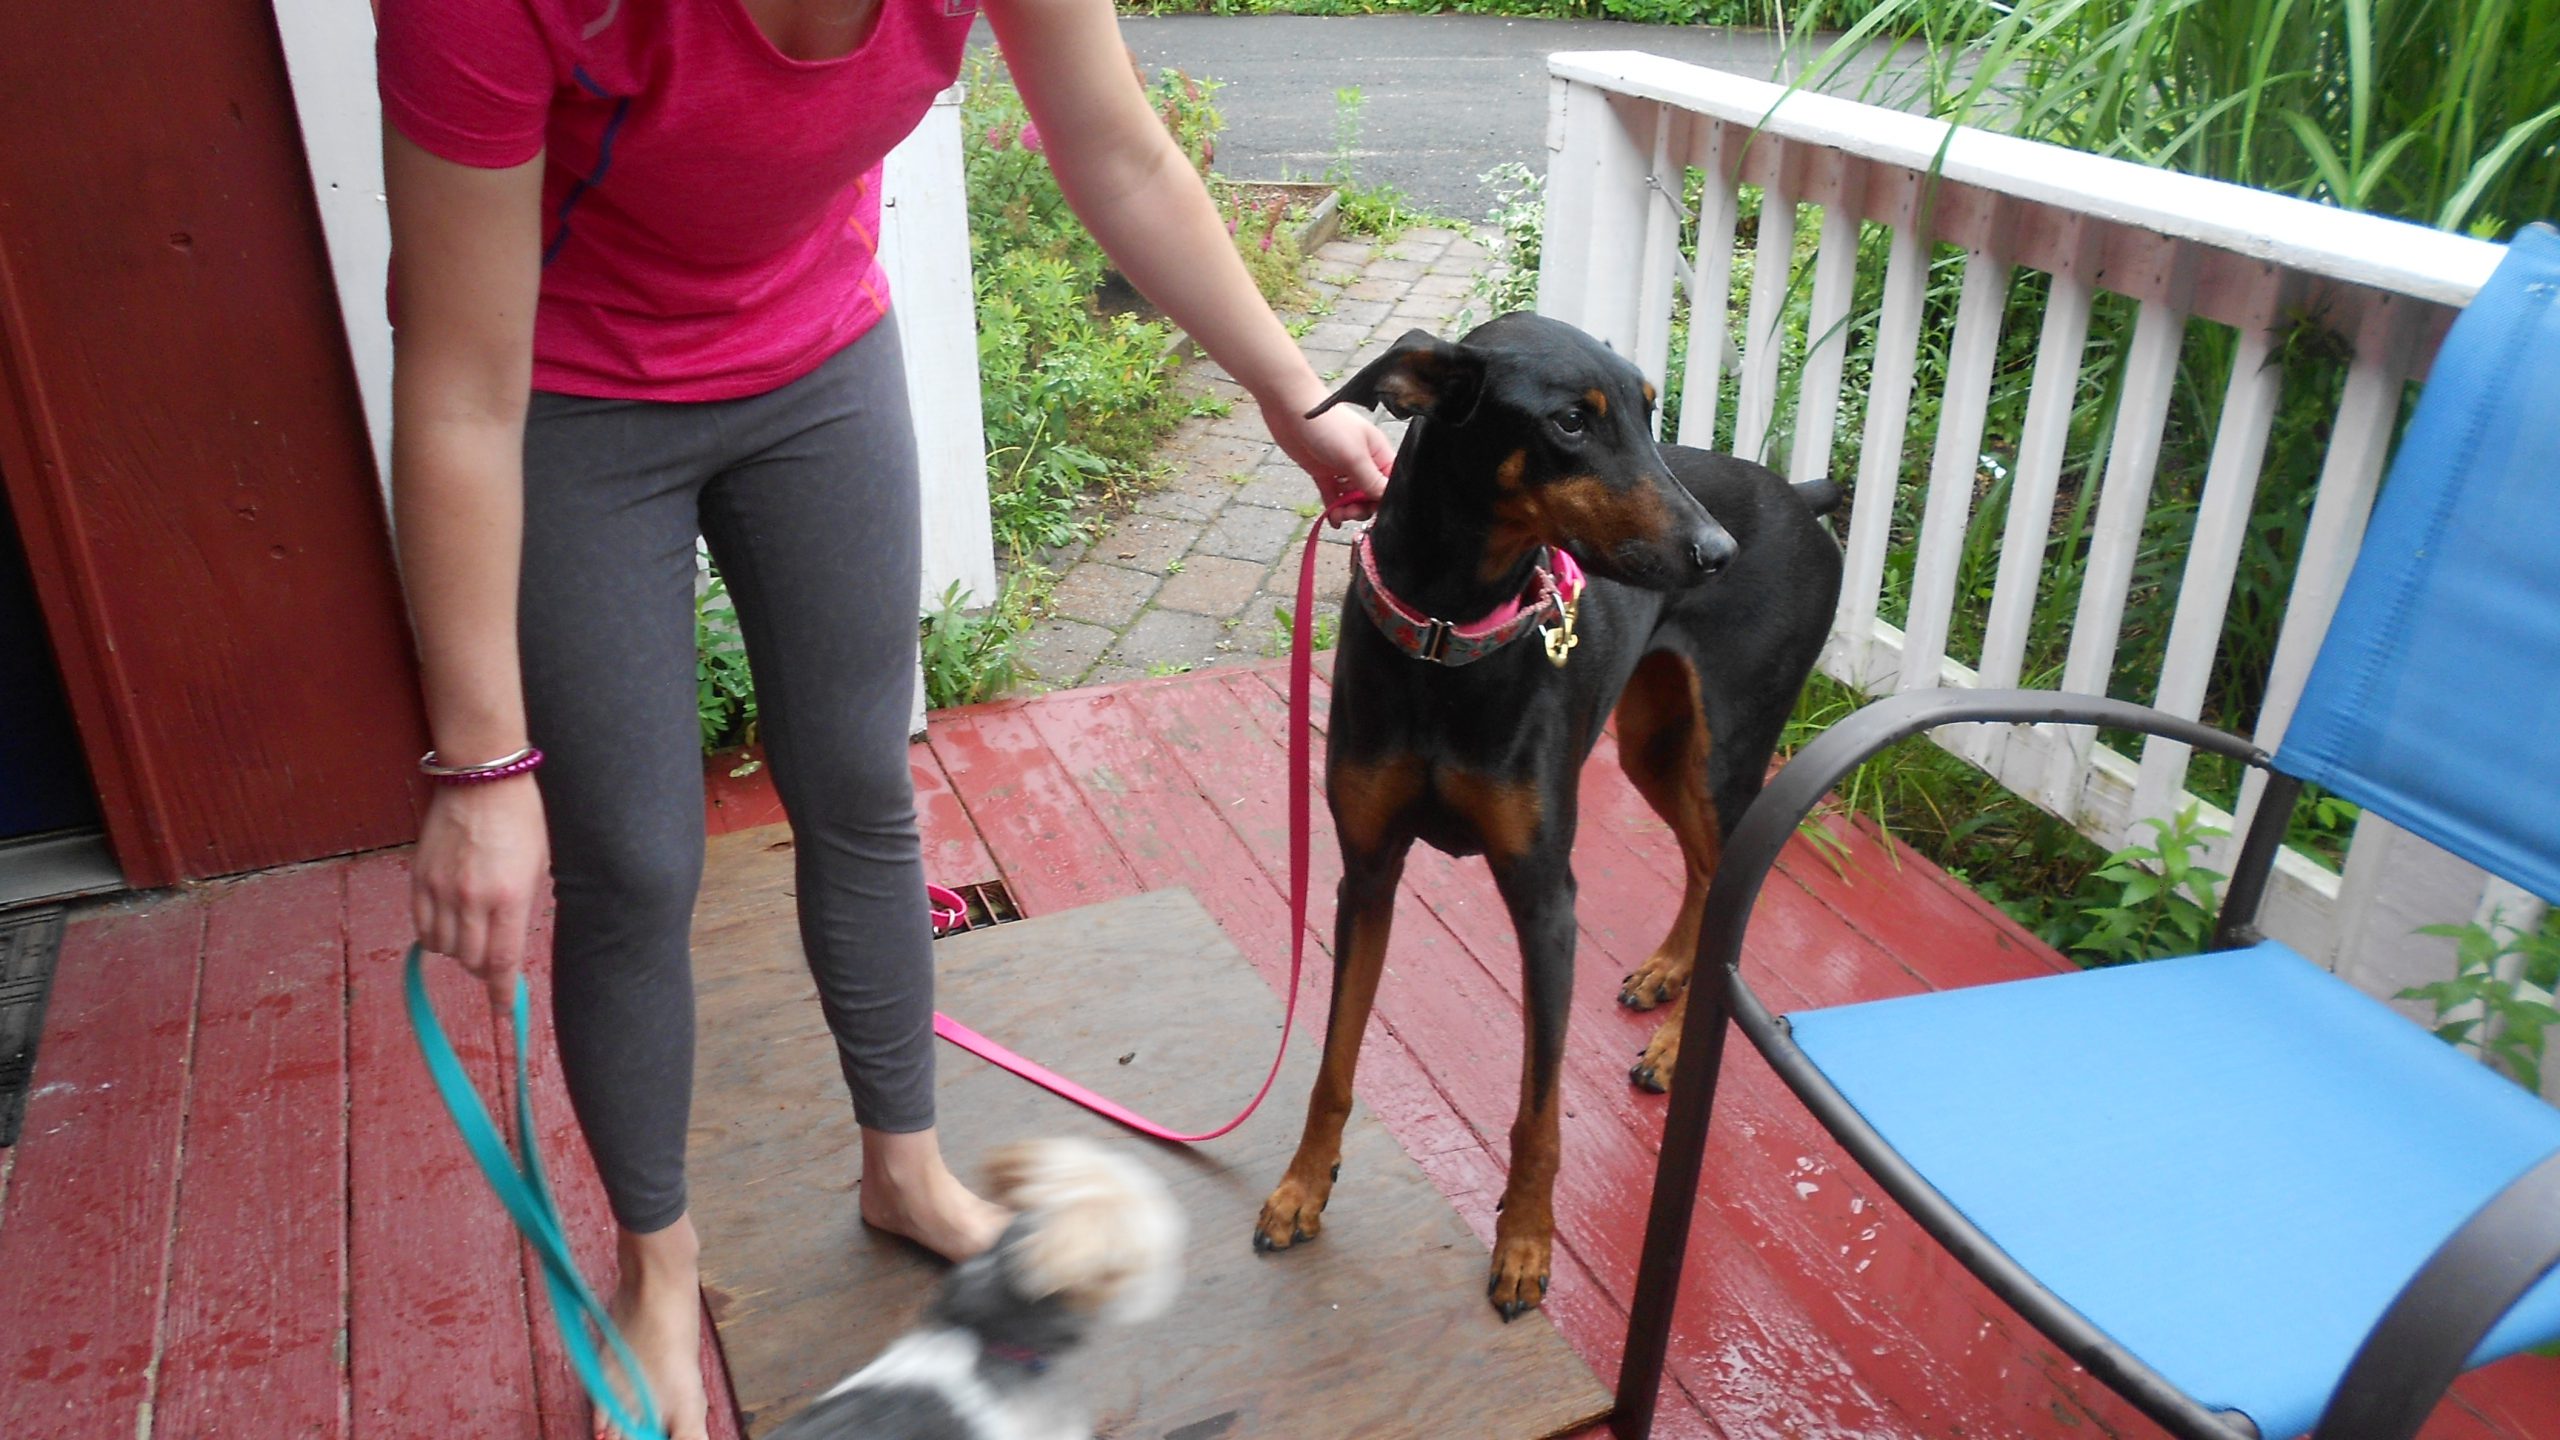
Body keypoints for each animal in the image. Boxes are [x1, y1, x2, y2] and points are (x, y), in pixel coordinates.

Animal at [1252, 313, 1843, 1319]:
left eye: (1649, 412)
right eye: (1571, 421)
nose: (1717, 550)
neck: (1451, 635)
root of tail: (1801, 498)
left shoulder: (1544, 896)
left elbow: (1539, 1105)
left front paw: (1527, 1243)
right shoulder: (1366, 873)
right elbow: (1334, 1060)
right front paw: (1301, 1186)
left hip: (1728, 746)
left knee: (1732, 875)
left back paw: (1676, 1045)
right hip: (1652, 741)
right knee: (1701, 865)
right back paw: (1666, 975)